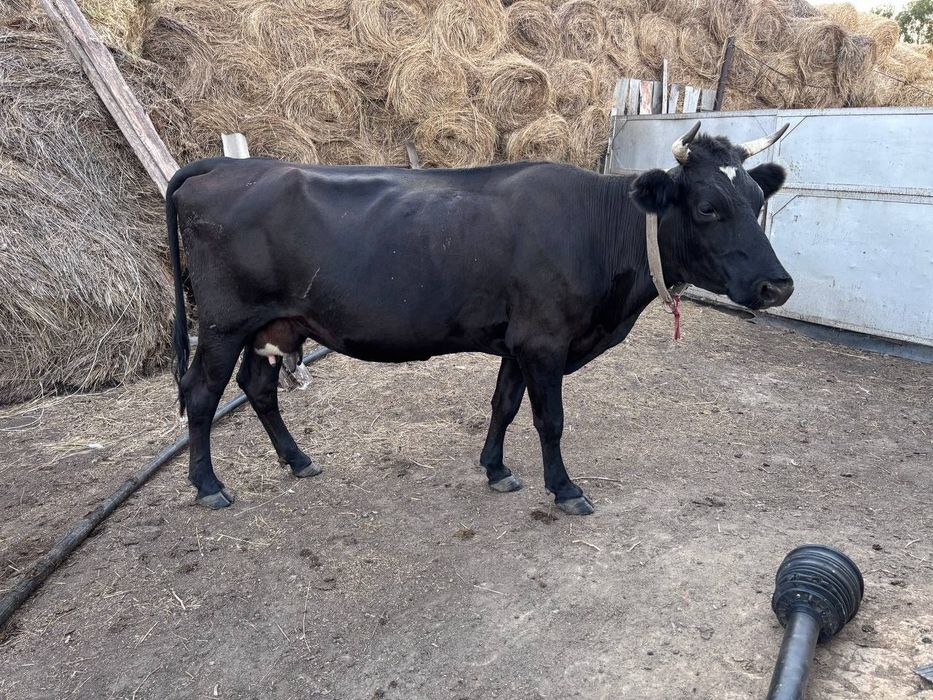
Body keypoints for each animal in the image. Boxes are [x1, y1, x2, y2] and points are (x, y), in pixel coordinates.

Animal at [166, 122, 794, 514]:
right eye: (708, 207)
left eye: (757, 202)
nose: (778, 285)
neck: (599, 229)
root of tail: (222, 167)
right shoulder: (545, 340)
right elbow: (550, 419)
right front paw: (565, 489)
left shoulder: (520, 339)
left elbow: (505, 405)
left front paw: (496, 470)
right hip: (224, 323)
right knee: (201, 393)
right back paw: (208, 485)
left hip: (274, 326)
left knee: (258, 388)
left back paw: (298, 461)